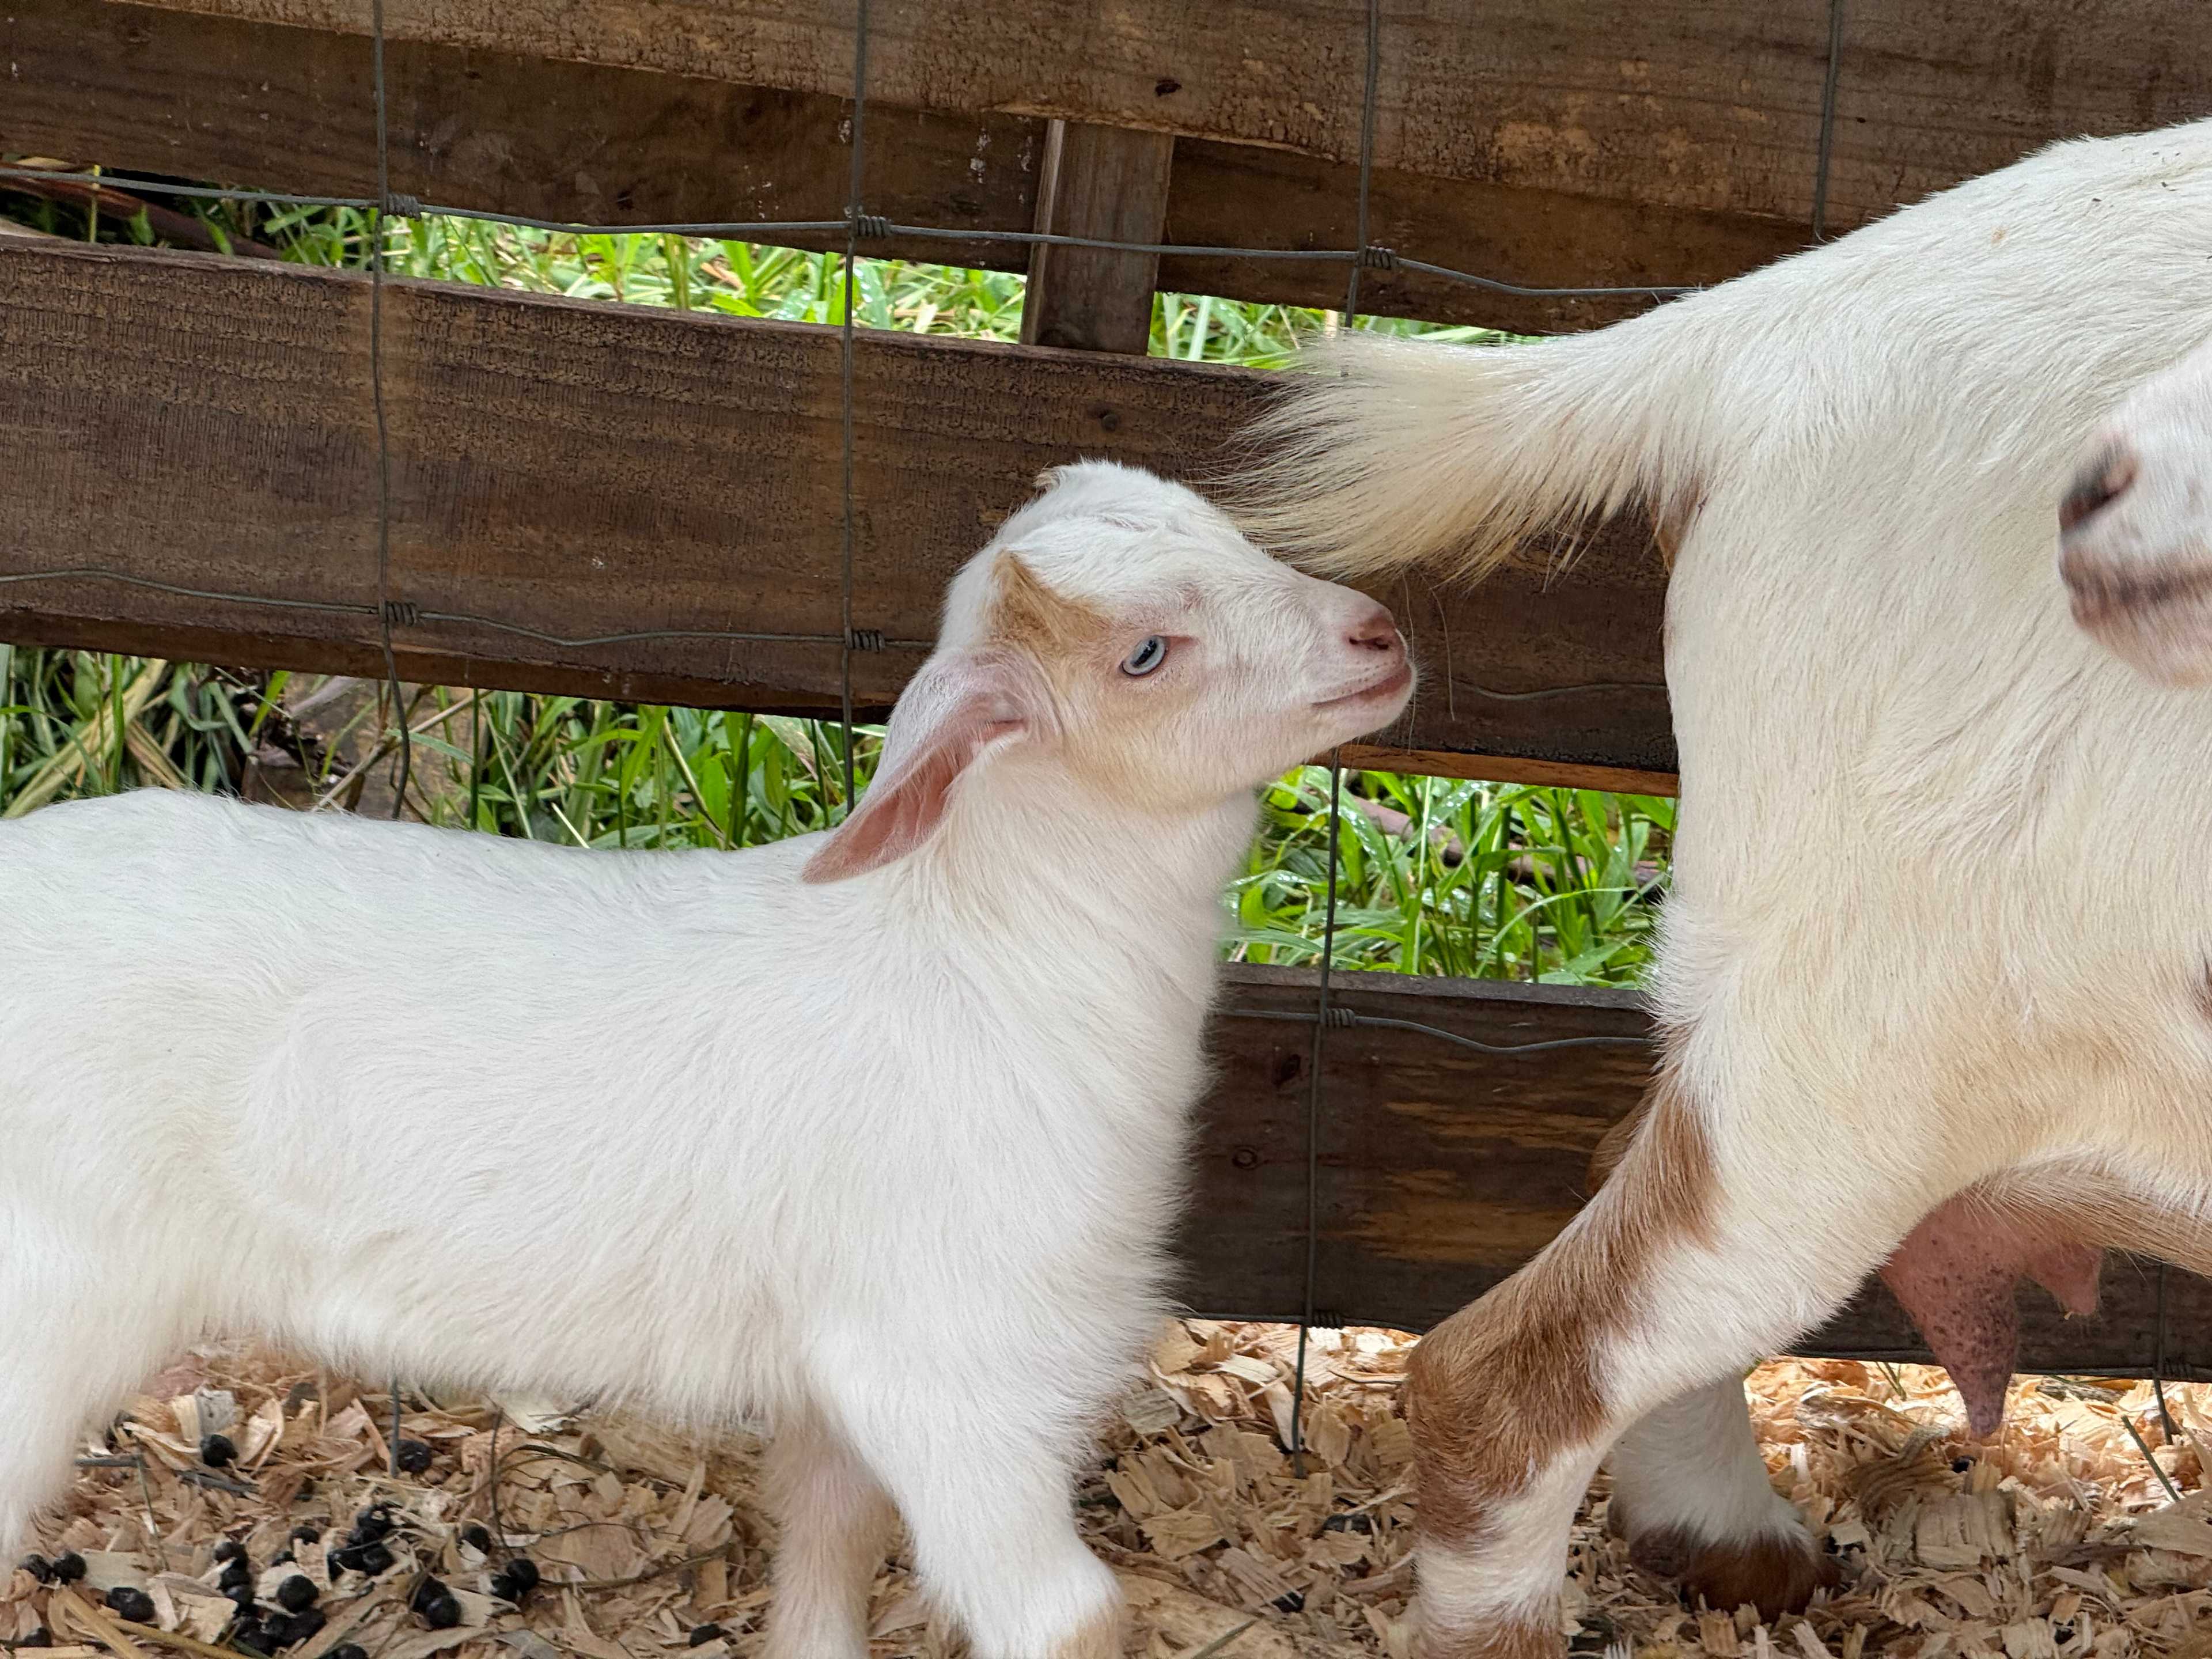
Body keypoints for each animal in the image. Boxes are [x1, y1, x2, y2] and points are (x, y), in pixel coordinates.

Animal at [0, 462, 1412, 1659]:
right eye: (1145, 653)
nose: (1383, 638)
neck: (983, 940)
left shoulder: (841, 1372)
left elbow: (829, 1552)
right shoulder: (954, 1370)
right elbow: (1065, 1615)